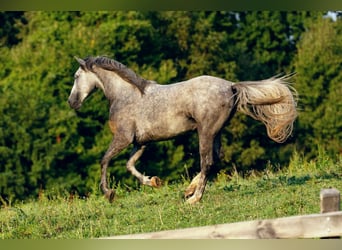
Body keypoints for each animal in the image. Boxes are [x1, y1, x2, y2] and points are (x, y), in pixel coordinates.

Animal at [67, 55, 296, 204]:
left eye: (76, 76)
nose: (72, 102)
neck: (124, 96)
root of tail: (231, 86)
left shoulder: (123, 138)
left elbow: (104, 160)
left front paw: (109, 193)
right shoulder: (141, 143)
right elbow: (129, 165)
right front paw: (153, 182)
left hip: (205, 132)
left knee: (207, 161)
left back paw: (194, 198)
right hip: (216, 132)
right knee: (214, 159)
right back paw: (189, 190)